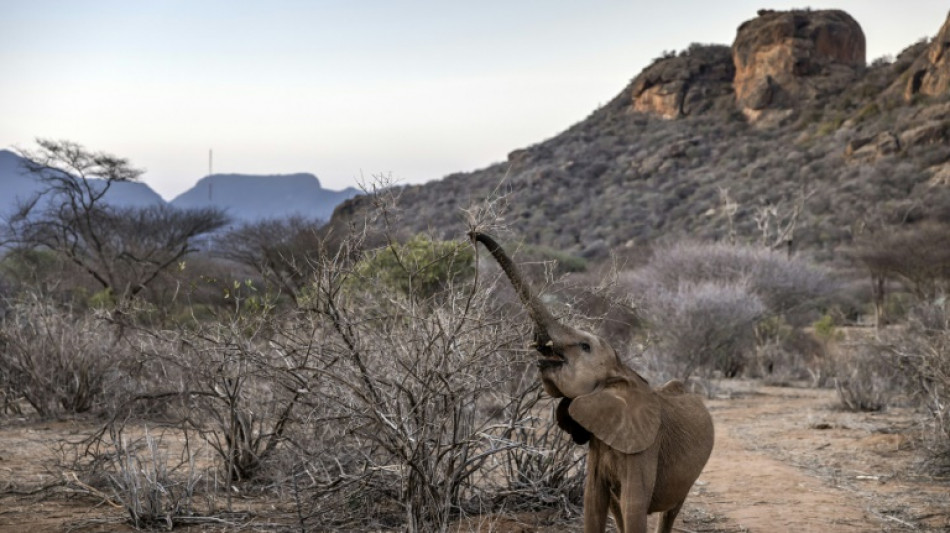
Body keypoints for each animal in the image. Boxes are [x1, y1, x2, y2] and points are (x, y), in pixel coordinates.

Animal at [472, 232, 716, 532]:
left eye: (585, 347)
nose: (473, 234)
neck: (620, 372)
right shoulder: (599, 442)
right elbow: (593, 501)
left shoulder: (644, 446)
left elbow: (634, 506)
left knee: (669, 510)